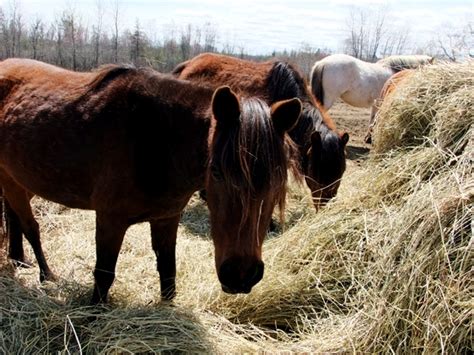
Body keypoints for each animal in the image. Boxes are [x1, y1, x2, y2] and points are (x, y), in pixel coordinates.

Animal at [0, 58, 300, 304]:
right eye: (216, 171)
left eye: (277, 179)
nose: (240, 274)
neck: (154, 141)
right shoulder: (110, 219)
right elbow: (104, 276)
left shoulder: (167, 218)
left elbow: (168, 274)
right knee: (31, 226)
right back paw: (46, 274)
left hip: (16, 180)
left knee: (14, 216)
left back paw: (18, 259)